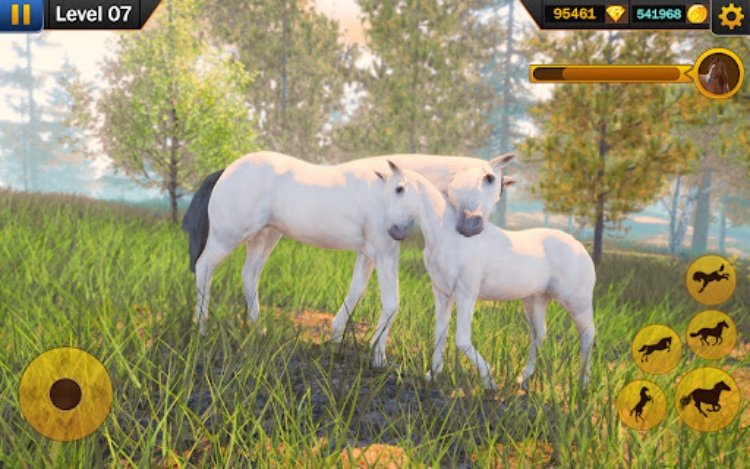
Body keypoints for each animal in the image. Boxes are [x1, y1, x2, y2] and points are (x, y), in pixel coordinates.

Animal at [183, 151, 516, 367]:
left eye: (499, 188)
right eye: (488, 178)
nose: (471, 226)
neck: (385, 188)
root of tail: (226, 170)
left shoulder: (368, 254)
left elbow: (356, 292)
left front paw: (336, 339)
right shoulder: (384, 251)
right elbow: (391, 303)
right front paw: (379, 358)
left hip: (265, 236)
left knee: (249, 275)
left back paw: (258, 330)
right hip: (228, 236)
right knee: (204, 268)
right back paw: (201, 327)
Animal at [378, 162, 596, 389]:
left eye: (399, 189)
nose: (394, 231)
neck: (448, 236)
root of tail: (580, 246)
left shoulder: (465, 295)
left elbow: (462, 339)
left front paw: (489, 380)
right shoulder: (442, 294)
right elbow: (440, 333)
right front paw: (433, 374)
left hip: (577, 303)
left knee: (588, 335)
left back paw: (582, 384)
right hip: (535, 300)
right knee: (539, 334)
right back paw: (523, 377)